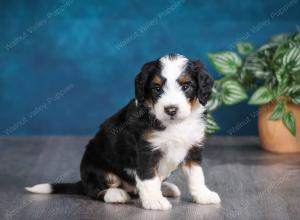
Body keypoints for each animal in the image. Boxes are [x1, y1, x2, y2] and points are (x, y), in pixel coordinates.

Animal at [25, 54, 221, 211]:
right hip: (101, 171)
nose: (171, 109)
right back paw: (116, 194)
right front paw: (154, 201)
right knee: (95, 190)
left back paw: (166, 188)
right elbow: (148, 177)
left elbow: (197, 176)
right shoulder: (145, 150)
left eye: (186, 86)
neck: (175, 124)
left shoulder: (193, 147)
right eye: (157, 88)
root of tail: (82, 181)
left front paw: (203, 195)